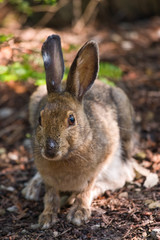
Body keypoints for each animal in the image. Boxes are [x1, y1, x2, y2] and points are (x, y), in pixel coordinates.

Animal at [25, 34, 137, 229]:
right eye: (40, 119)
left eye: (71, 120)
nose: (50, 149)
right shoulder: (49, 178)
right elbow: (50, 194)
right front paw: (46, 217)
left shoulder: (97, 166)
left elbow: (87, 188)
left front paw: (78, 213)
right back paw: (31, 189)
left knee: (122, 176)